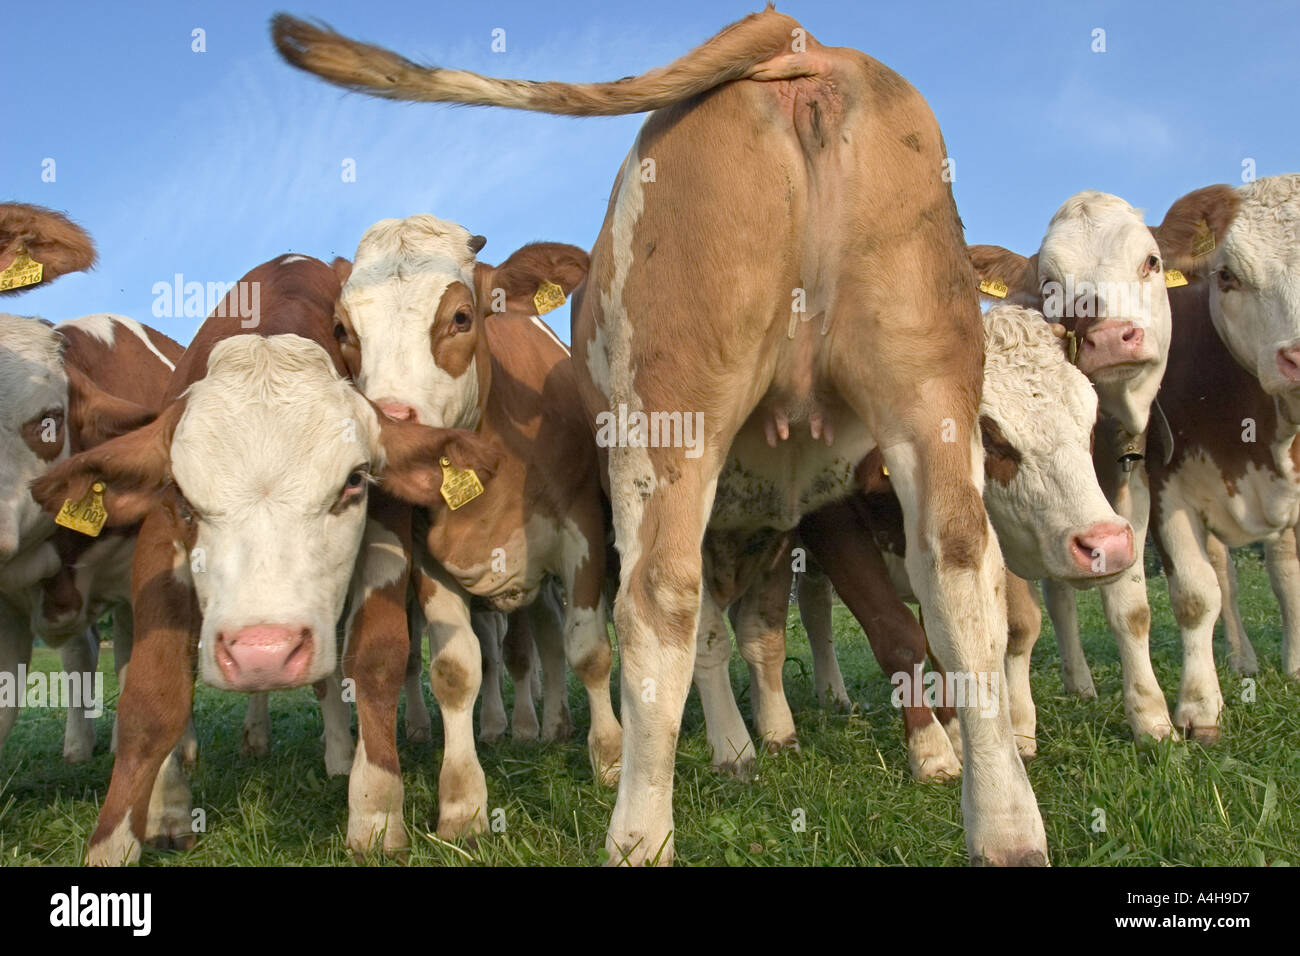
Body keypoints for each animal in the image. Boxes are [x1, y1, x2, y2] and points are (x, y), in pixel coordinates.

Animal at [31, 251, 496, 863]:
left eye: (354, 481)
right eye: (182, 495)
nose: (263, 652)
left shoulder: (386, 537)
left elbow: (375, 663)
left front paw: (375, 811)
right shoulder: (158, 547)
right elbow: (152, 696)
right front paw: (123, 837)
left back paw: (340, 754)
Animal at [332, 214, 621, 837]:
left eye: (461, 317)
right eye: (342, 329)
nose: (393, 429)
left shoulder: (581, 535)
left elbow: (589, 651)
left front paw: (611, 759)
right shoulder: (432, 561)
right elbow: (456, 669)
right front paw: (462, 802)